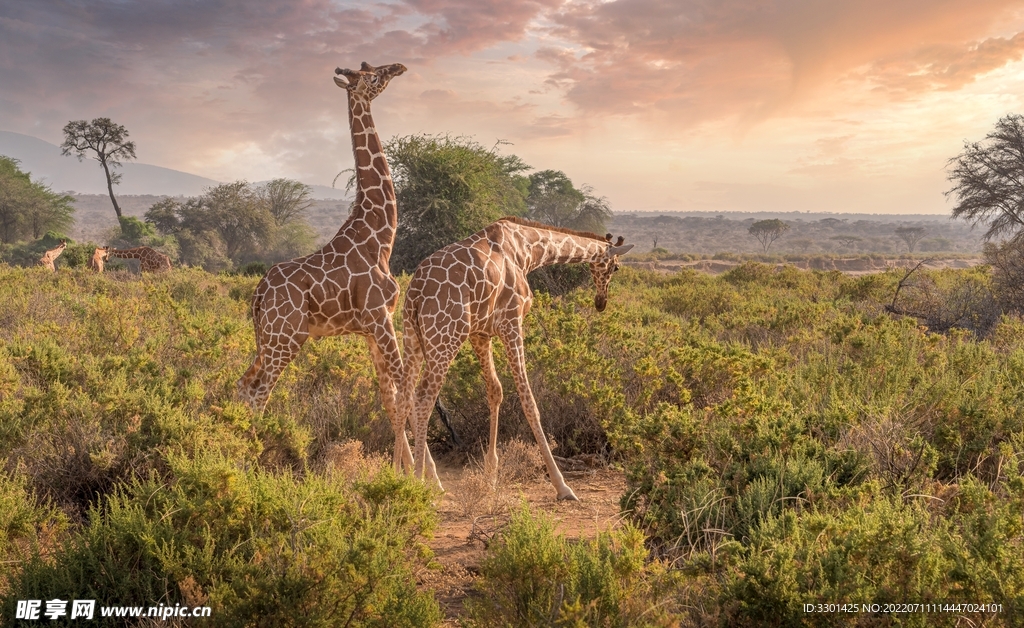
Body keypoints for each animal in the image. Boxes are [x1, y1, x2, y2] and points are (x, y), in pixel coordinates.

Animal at [237, 61, 417, 471]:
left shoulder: (370, 328)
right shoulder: (380, 318)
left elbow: (388, 397)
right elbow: (405, 387)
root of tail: (258, 295)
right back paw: (249, 464)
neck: (380, 238)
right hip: (286, 338)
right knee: (259, 391)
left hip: (267, 338)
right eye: (372, 76)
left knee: (244, 383)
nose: (398, 67)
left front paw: (401, 471)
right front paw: (424, 475)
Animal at [397, 217, 630, 499]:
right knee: (423, 399)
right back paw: (421, 484)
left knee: (403, 397)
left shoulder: (480, 333)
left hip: (412, 337)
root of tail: (415, 292)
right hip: (446, 336)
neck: (527, 250)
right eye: (616, 267)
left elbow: (495, 391)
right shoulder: (511, 321)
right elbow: (528, 399)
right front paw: (562, 485)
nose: (601, 302)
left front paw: (491, 475)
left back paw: (394, 475)